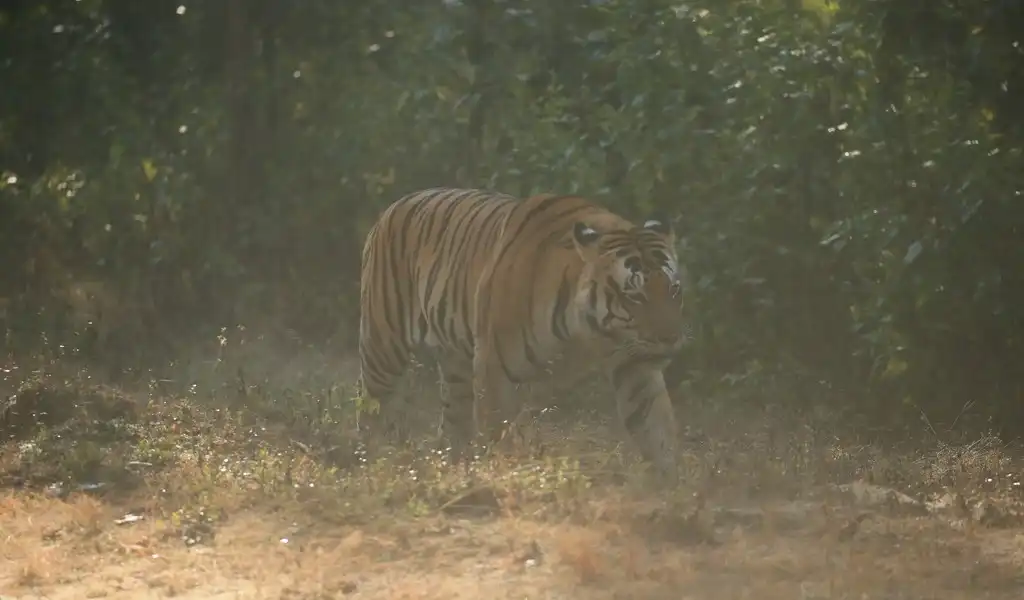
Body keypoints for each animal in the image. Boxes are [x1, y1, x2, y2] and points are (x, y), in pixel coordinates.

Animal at [358, 187, 687, 479]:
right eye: (635, 296)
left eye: (673, 289)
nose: (670, 338)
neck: (588, 333)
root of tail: (394, 206)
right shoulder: (493, 368)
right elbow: (496, 432)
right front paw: (498, 477)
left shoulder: (635, 364)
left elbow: (656, 431)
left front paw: (669, 491)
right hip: (384, 348)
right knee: (372, 410)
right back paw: (371, 465)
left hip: (456, 366)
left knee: (453, 425)